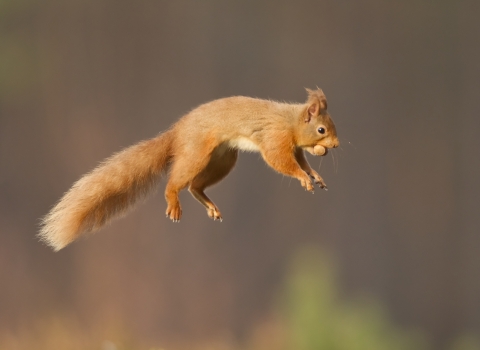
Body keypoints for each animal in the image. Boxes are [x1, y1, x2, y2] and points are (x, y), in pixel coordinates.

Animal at [39, 89, 338, 250]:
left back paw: (210, 205)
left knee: (195, 186)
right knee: (177, 180)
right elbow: (281, 162)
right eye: (321, 129)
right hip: (197, 154)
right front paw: (303, 177)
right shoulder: (275, 138)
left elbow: (302, 161)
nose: (335, 144)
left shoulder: (295, 148)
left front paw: (315, 175)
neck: (291, 120)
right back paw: (173, 202)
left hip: (221, 160)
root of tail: (177, 132)